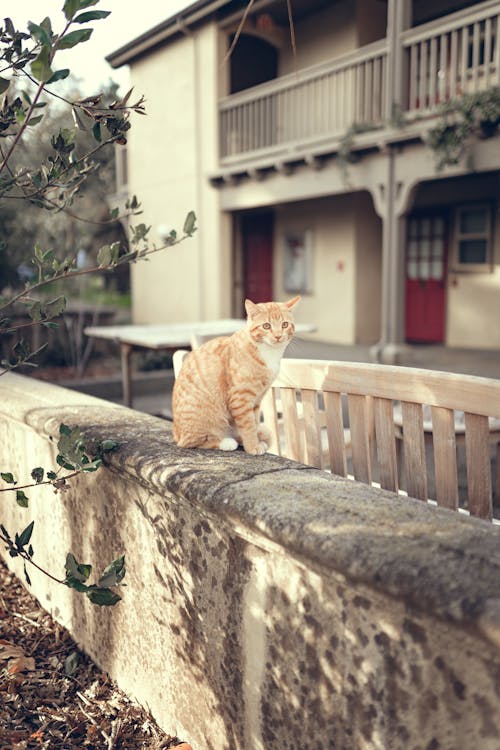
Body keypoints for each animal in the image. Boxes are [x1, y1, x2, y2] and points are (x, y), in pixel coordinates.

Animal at [172, 296, 298, 456]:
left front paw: (255, 440)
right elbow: (248, 425)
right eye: (266, 326)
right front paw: (252, 446)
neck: (268, 352)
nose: (278, 336)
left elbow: (254, 422)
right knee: (192, 442)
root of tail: (176, 433)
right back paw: (227, 442)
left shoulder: (256, 400)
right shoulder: (240, 398)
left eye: (284, 324)